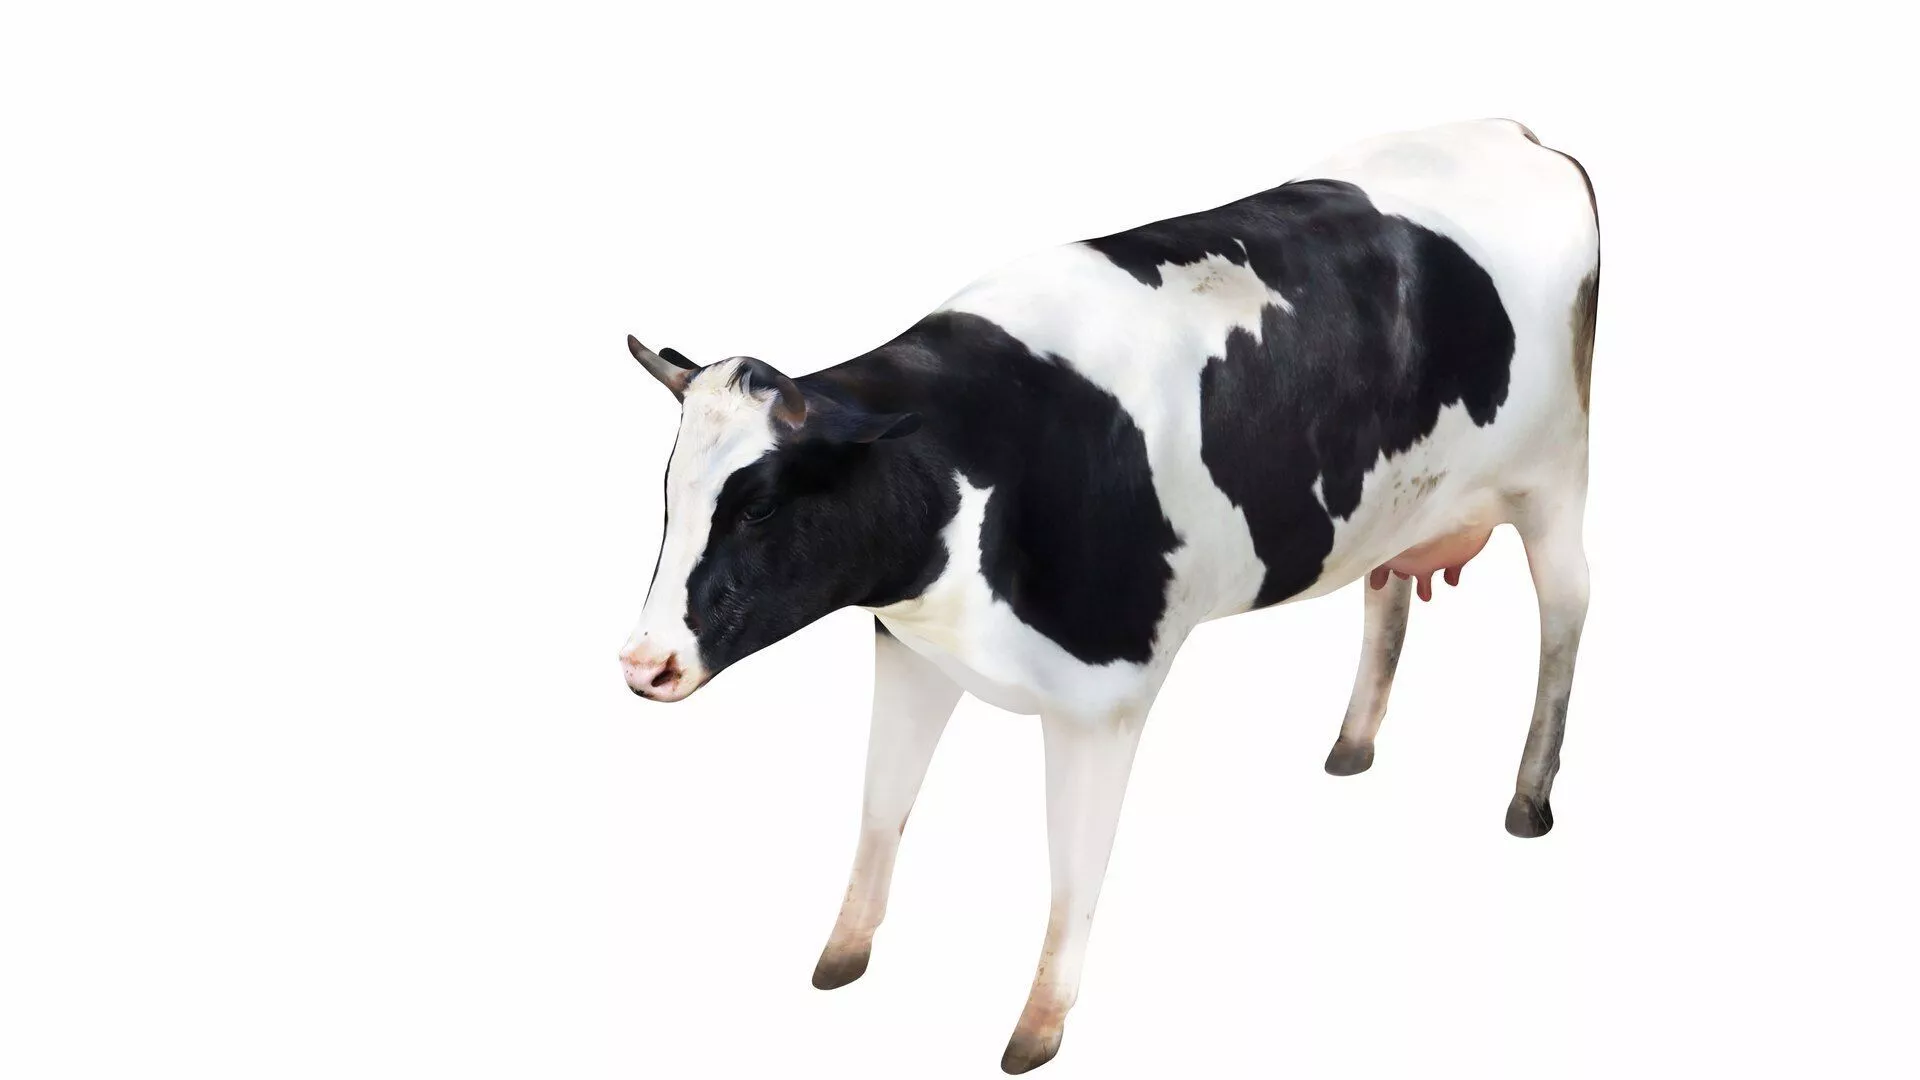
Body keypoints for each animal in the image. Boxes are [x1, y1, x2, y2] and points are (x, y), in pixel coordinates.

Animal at [618, 119, 1598, 1072]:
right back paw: (1353, 745)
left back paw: (1528, 799)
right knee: (1386, 595)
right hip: (1396, 505)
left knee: (1566, 619)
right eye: (667, 495)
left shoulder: (1103, 696)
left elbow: (1071, 869)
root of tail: (1518, 134)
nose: (643, 662)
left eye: (760, 506)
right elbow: (878, 810)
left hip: (1555, 480)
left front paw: (1038, 1027)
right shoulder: (910, 650)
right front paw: (841, 957)